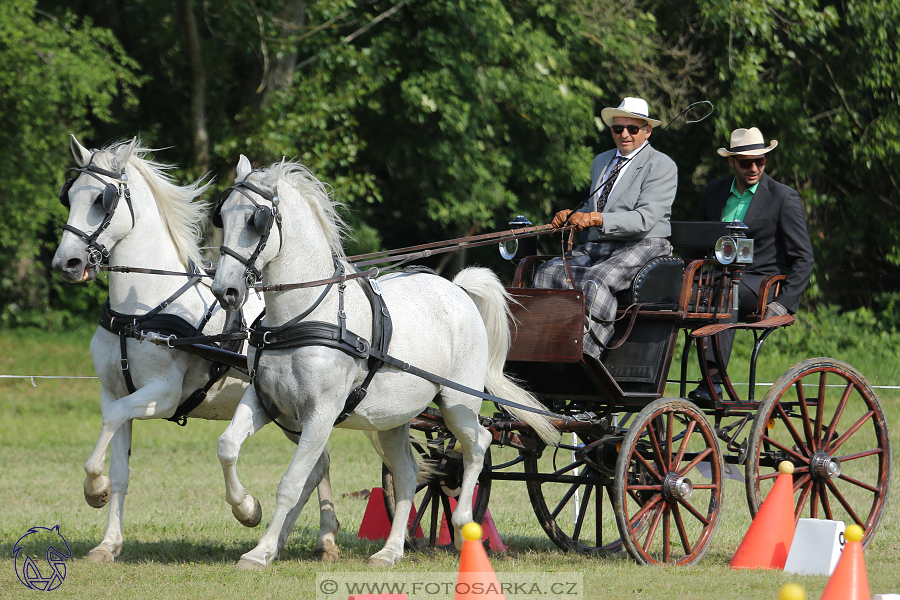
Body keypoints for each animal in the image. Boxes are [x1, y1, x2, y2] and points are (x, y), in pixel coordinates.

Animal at [51, 138, 342, 564]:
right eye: (69, 196)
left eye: (102, 200)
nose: (66, 263)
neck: (138, 312)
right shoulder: (114, 391)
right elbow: (119, 466)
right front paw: (108, 542)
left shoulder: (164, 395)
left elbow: (111, 423)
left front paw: (94, 488)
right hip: (293, 415)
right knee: (319, 466)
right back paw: (321, 539)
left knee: (319, 466)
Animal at [211, 156, 560, 568]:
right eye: (222, 215)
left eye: (256, 221)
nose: (225, 291)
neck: (301, 318)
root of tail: (457, 288)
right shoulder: (265, 401)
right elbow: (227, 446)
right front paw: (247, 510)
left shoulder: (320, 415)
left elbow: (291, 483)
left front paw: (261, 551)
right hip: (396, 418)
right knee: (408, 474)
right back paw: (391, 551)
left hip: (459, 403)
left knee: (478, 444)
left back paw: (462, 526)